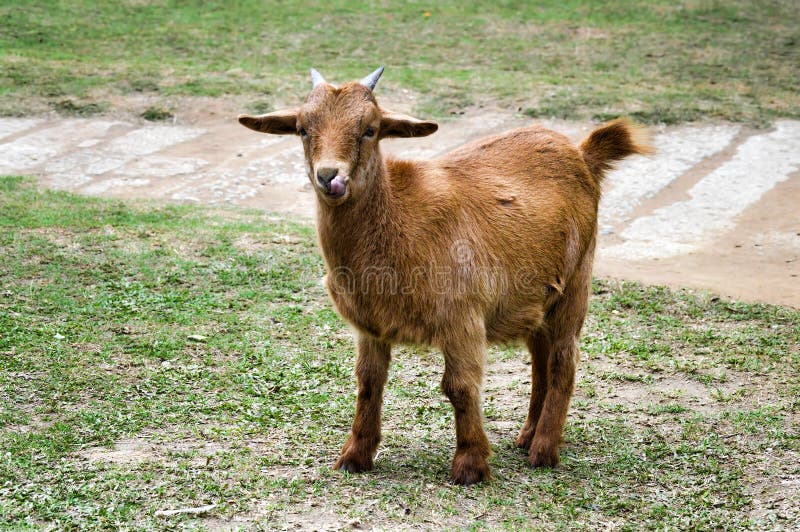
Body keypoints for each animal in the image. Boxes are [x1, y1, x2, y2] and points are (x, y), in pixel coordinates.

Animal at [238, 66, 652, 485]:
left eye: (370, 129)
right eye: (302, 129)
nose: (329, 177)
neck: (398, 220)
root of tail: (582, 153)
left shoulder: (462, 317)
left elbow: (459, 387)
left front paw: (470, 465)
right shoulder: (371, 326)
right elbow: (368, 381)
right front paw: (355, 456)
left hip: (577, 280)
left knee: (563, 359)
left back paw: (544, 450)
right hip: (535, 298)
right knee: (540, 357)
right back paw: (527, 436)